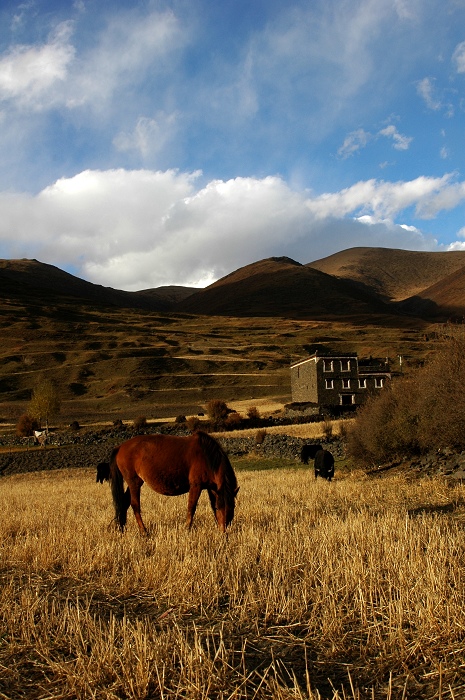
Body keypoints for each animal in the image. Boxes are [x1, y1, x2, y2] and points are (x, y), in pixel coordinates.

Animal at [95, 430, 237, 532]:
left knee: (124, 503)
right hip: (133, 482)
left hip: (135, 483)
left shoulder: (211, 487)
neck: (207, 457)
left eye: (232, 507)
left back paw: (122, 529)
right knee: (135, 505)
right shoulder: (196, 486)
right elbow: (191, 507)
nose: (223, 530)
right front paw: (186, 529)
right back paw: (143, 531)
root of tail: (120, 447)